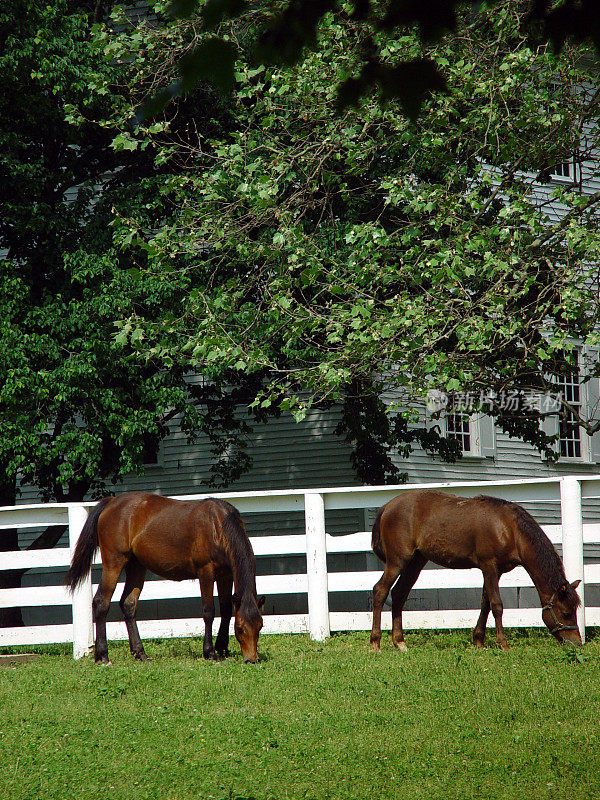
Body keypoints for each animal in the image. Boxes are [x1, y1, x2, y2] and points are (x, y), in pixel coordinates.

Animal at [64, 490, 264, 664]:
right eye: (240, 628)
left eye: (260, 626)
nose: (251, 659)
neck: (217, 525)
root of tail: (112, 502)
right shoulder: (205, 572)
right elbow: (209, 611)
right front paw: (210, 652)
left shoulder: (226, 575)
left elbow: (226, 610)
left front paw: (222, 648)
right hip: (114, 563)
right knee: (101, 602)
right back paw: (102, 655)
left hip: (136, 566)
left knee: (128, 604)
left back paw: (140, 653)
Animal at [370, 490, 580, 652]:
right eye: (565, 613)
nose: (577, 643)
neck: (509, 528)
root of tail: (387, 506)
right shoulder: (489, 566)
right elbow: (496, 605)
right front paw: (503, 644)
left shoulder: (496, 571)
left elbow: (485, 603)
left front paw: (478, 640)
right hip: (397, 561)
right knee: (380, 590)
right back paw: (375, 643)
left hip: (415, 563)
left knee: (399, 594)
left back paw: (400, 642)